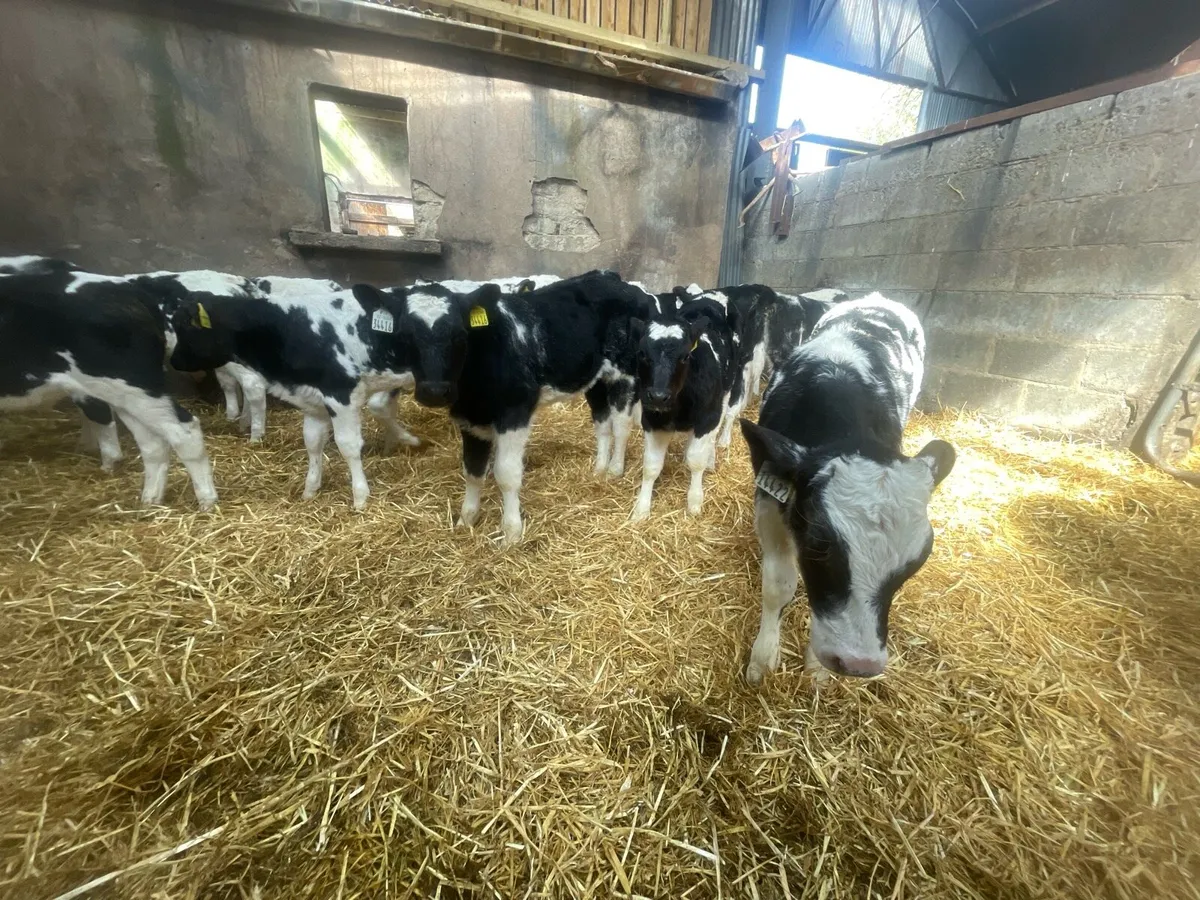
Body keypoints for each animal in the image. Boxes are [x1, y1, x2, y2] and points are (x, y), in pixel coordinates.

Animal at [0, 272, 218, 510]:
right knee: (152, 443)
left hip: (132, 382)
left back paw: (207, 501)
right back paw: (149, 500)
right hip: (122, 394)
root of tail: (130, 288)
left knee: (184, 431)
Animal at [351, 270, 652, 544]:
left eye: (460, 335)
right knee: (602, 421)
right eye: (404, 335)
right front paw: (466, 520)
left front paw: (511, 534)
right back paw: (599, 468)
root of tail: (615, 280)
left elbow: (506, 474)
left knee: (622, 424)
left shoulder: (514, 412)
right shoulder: (469, 418)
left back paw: (614, 469)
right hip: (595, 378)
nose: (435, 391)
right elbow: (473, 470)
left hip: (626, 373)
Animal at [630, 293, 735, 520]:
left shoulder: (708, 418)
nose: (658, 396)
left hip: (725, 394)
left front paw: (694, 502)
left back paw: (710, 459)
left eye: (685, 356)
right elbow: (651, 465)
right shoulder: (651, 420)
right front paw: (641, 509)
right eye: (641, 353)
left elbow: (697, 460)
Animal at [739, 293, 955, 684]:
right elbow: (778, 585)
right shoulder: (769, 500)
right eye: (819, 544)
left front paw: (815, 669)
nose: (857, 663)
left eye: (916, 561)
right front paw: (763, 658)